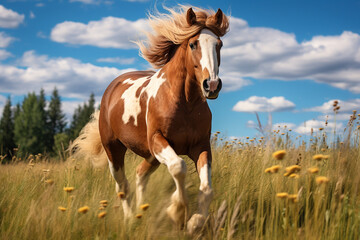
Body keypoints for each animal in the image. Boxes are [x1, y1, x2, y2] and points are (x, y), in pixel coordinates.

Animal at [71, 6, 229, 232]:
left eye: (219, 44)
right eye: (193, 44)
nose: (212, 85)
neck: (184, 102)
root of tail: (112, 88)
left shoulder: (200, 146)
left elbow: (207, 188)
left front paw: (195, 222)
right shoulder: (157, 140)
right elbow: (178, 167)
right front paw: (177, 212)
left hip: (151, 157)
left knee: (140, 175)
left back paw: (141, 212)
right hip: (114, 150)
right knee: (123, 185)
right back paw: (130, 219)